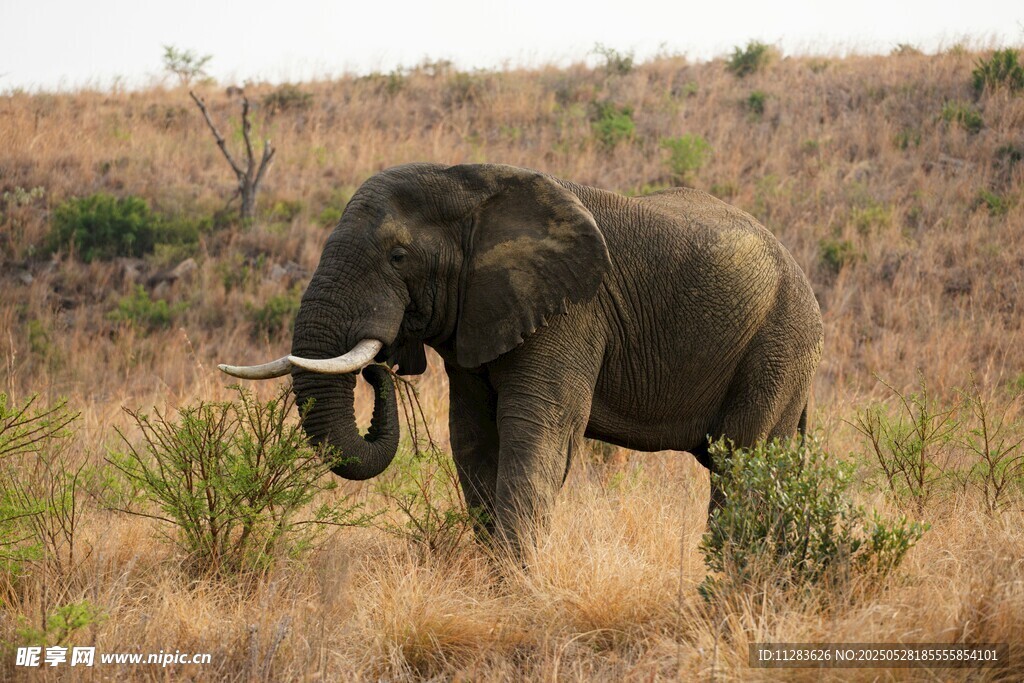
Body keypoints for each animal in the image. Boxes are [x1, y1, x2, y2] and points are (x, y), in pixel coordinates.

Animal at [220, 163, 823, 552]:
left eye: (398, 256)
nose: (380, 365)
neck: (472, 186)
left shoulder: (573, 309)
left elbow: (536, 427)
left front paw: (518, 583)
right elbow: (472, 434)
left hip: (778, 344)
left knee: (741, 461)